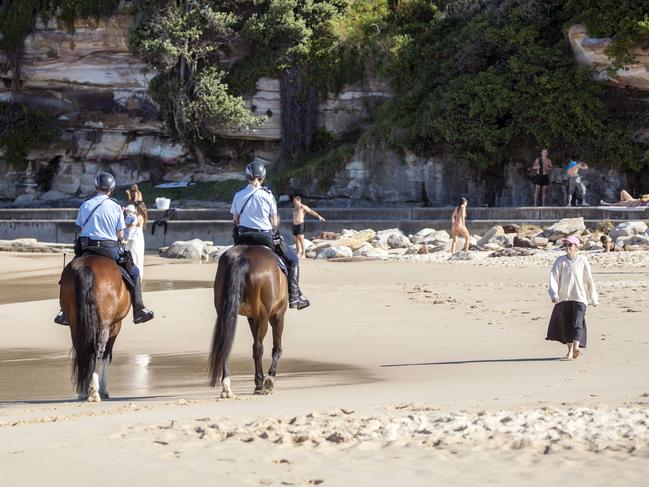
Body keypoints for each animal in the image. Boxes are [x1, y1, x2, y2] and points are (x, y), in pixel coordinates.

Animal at [60, 254, 130, 402]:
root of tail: (87, 265)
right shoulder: (115, 326)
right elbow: (107, 355)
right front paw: (104, 389)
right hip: (105, 323)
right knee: (99, 349)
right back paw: (93, 391)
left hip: (74, 321)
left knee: (81, 348)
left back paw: (83, 391)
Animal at [209, 246, 288, 398]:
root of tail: (243, 256)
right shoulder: (278, 315)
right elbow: (277, 349)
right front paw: (270, 380)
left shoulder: (252, 317)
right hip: (264, 317)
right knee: (258, 347)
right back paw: (260, 384)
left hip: (227, 312)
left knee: (224, 344)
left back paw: (227, 387)